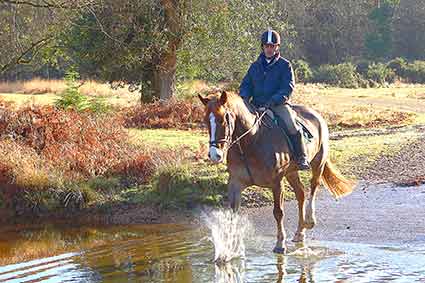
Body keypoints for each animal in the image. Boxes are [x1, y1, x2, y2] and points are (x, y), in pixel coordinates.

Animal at [199, 91, 354, 255]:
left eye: (222, 120)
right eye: (206, 121)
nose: (214, 155)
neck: (252, 141)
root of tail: (316, 115)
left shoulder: (276, 183)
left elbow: (278, 212)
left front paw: (280, 244)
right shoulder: (235, 183)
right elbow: (233, 214)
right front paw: (228, 250)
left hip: (318, 163)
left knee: (313, 187)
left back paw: (309, 220)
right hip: (291, 172)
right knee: (301, 194)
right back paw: (300, 233)